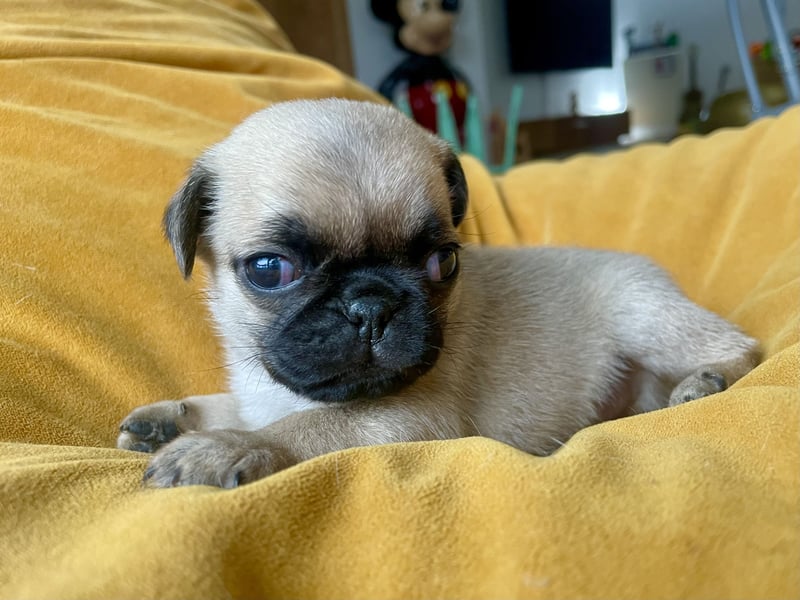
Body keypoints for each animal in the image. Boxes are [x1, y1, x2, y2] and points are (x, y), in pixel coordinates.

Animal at [117, 98, 756, 488]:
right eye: (270, 270)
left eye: (442, 262)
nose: (371, 305)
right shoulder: (259, 394)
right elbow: (229, 404)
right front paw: (169, 420)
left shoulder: (406, 422)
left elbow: (304, 429)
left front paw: (221, 447)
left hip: (644, 314)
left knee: (742, 349)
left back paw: (706, 381)